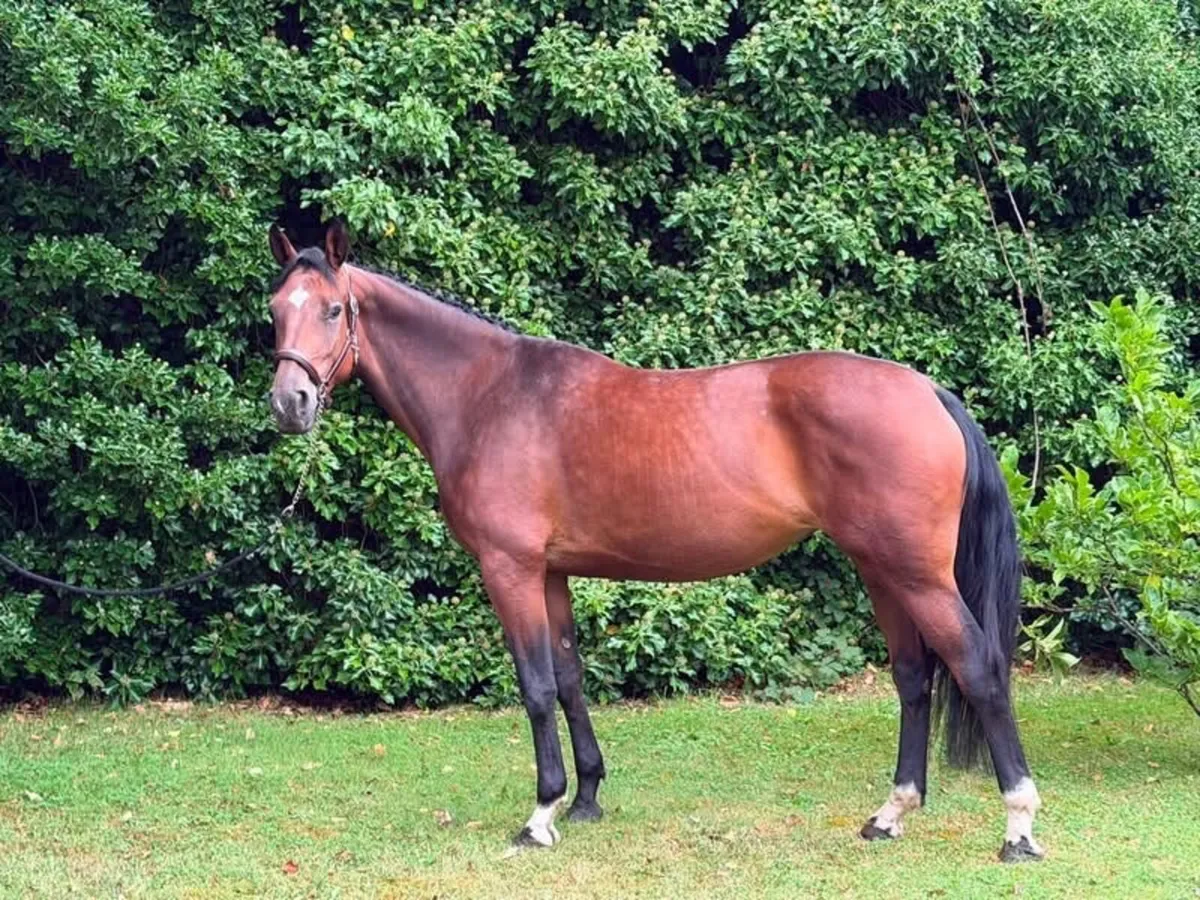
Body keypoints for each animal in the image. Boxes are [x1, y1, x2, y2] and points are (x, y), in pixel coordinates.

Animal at [266, 220, 1044, 863]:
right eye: (275, 310)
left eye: (332, 310)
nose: (289, 403)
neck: (491, 396)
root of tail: (928, 392)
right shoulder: (550, 573)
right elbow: (570, 677)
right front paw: (585, 798)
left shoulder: (509, 569)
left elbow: (536, 686)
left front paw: (540, 815)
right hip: (882, 570)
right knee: (913, 678)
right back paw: (890, 815)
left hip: (918, 575)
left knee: (978, 667)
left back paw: (1018, 827)